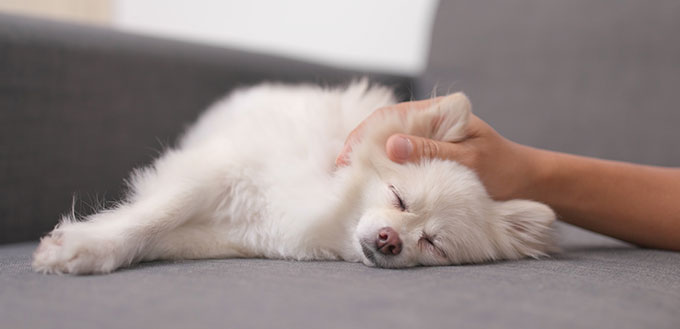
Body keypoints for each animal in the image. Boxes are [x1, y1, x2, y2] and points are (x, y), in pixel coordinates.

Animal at [31, 80, 556, 272]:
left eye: (432, 244)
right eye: (398, 197)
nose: (390, 240)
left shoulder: (231, 235)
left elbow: (161, 236)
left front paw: (92, 247)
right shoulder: (217, 171)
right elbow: (156, 213)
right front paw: (86, 245)